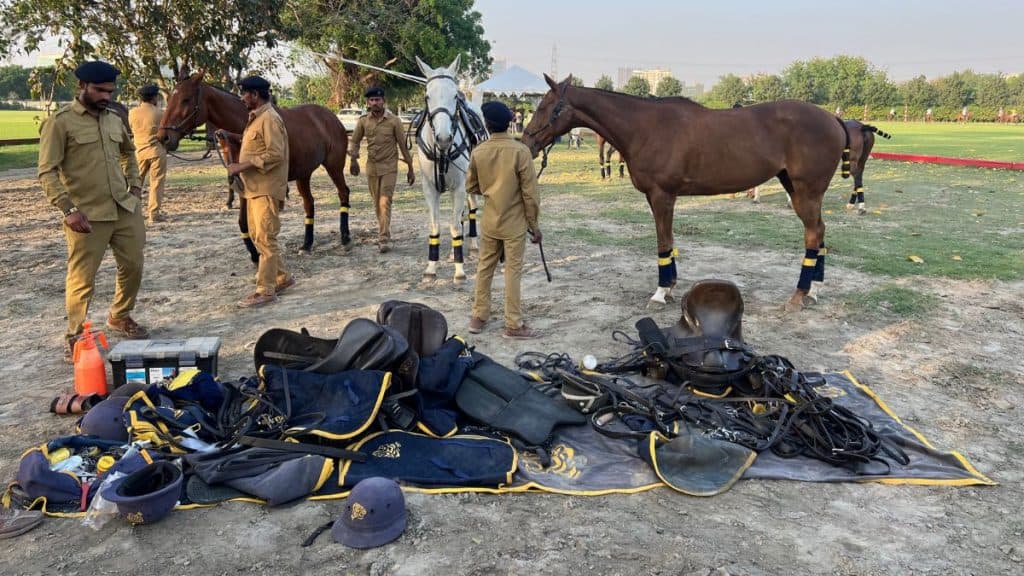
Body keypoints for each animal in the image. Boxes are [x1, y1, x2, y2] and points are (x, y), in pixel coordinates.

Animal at [157, 68, 352, 259]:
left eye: (186, 99)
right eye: (170, 98)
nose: (163, 137)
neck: (243, 130)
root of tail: (332, 117)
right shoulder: (242, 183)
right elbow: (242, 222)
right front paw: (254, 254)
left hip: (334, 166)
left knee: (343, 193)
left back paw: (345, 237)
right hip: (303, 174)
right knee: (309, 203)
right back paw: (307, 244)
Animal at [412, 55, 485, 283]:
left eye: (454, 96)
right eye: (427, 96)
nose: (443, 138)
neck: (442, 152)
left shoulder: (460, 187)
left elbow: (454, 226)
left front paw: (459, 271)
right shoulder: (429, 189)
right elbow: (436, 226)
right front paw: (431, 268)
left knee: (470, 210)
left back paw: (472, 246)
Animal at [521, 75, 855, 310]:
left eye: (545, 107)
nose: (527, 142)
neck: (645, 127)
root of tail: (833, 119)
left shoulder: (662, 195)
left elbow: (662, 241)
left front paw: (660, 292)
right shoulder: (656, 197)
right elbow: (668, 241)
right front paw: (669, 287)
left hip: (806, 191)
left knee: (813, 234)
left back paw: (799, 294)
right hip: (798, 189)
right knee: (820, 231)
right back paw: (814, 290)